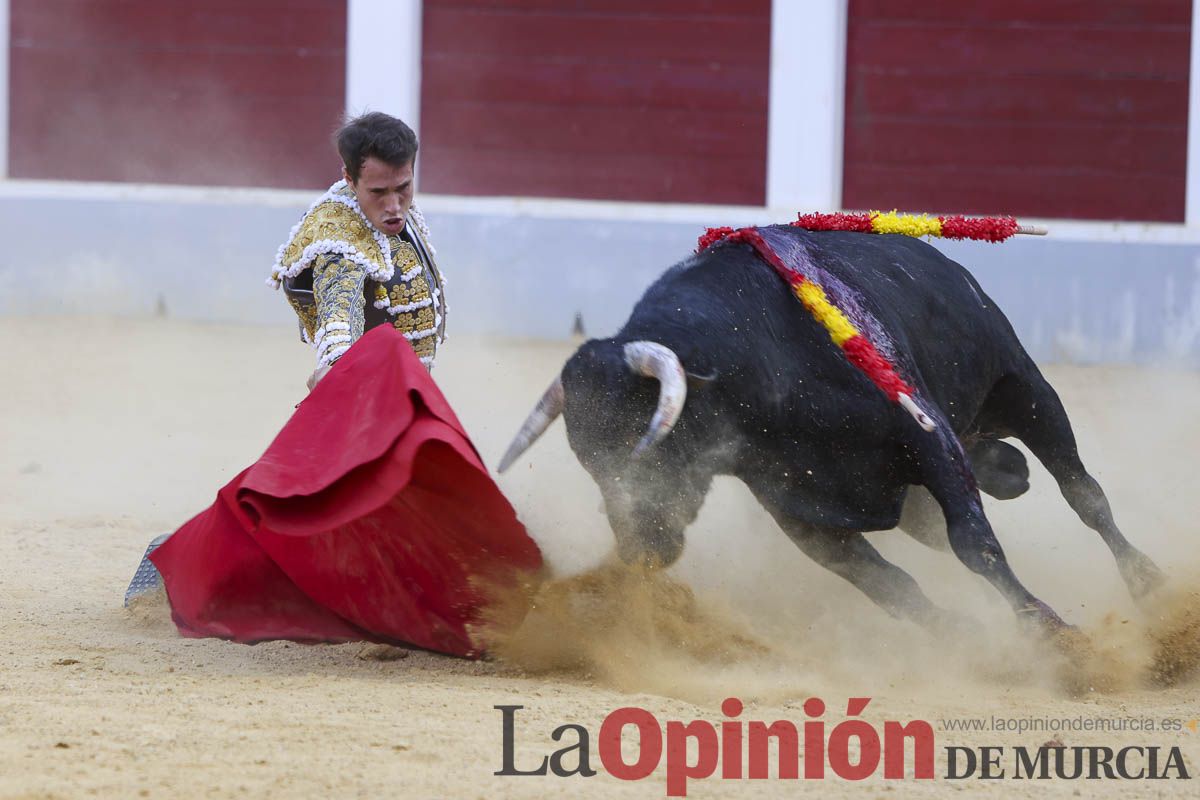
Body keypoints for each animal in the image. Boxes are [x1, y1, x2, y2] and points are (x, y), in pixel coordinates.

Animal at [501, 226, 1166, 633]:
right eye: (590, 462)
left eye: (648, 440)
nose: (640, 550)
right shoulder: (801, 514)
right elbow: (891, 587)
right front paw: (961, 635)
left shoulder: (929, 438)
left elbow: (975, 544)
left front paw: (1051, 631)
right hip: (930, 491)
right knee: (981, 497)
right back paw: (1011, 474)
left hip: (1024, 388)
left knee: (1083, 492)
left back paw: (1147, 582)